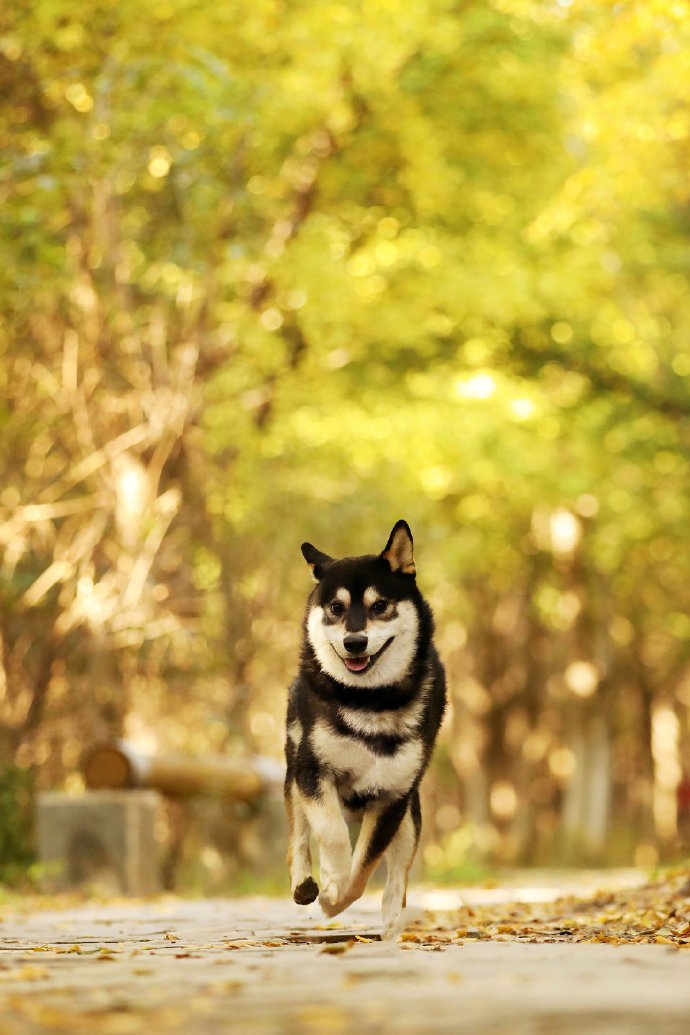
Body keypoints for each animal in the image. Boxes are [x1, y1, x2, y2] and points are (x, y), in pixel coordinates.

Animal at [281, 517, 448, 939]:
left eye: (380, 606)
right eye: (336, 608)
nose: (354, 642)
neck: (370, 700)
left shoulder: (393, 796)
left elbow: (366, 867)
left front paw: (336, 897)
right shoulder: (313, 772)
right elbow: (332, 833)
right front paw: (331, 884)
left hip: (410, 812)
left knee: (397, 876)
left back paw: (389, 926)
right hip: (293, 771)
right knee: (299, 835)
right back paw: (305, 883)